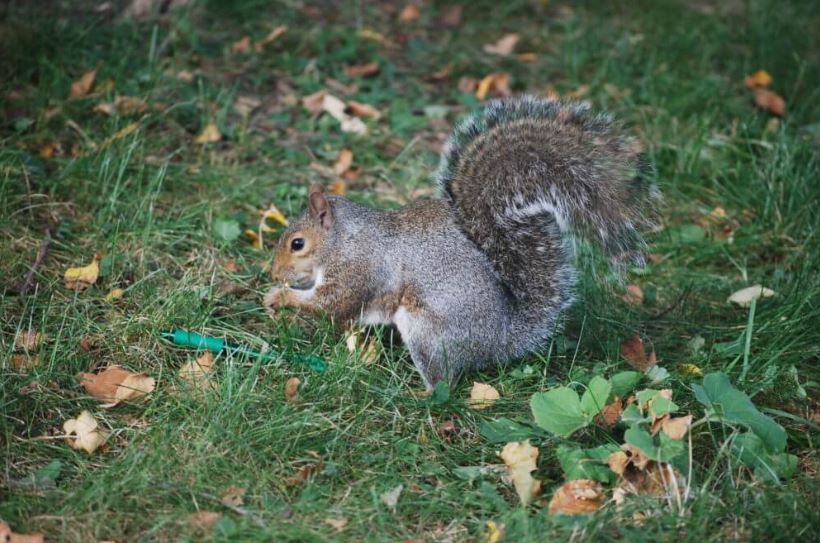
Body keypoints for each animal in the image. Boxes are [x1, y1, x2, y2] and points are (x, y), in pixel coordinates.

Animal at [265, 96, 655, 389]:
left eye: (297, 244)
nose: (273, 273)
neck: (343, 240)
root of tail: (502, 340)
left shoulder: (356, 271)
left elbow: (331, 304)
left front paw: (280, 297)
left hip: (427, 331)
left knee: (445, 382)